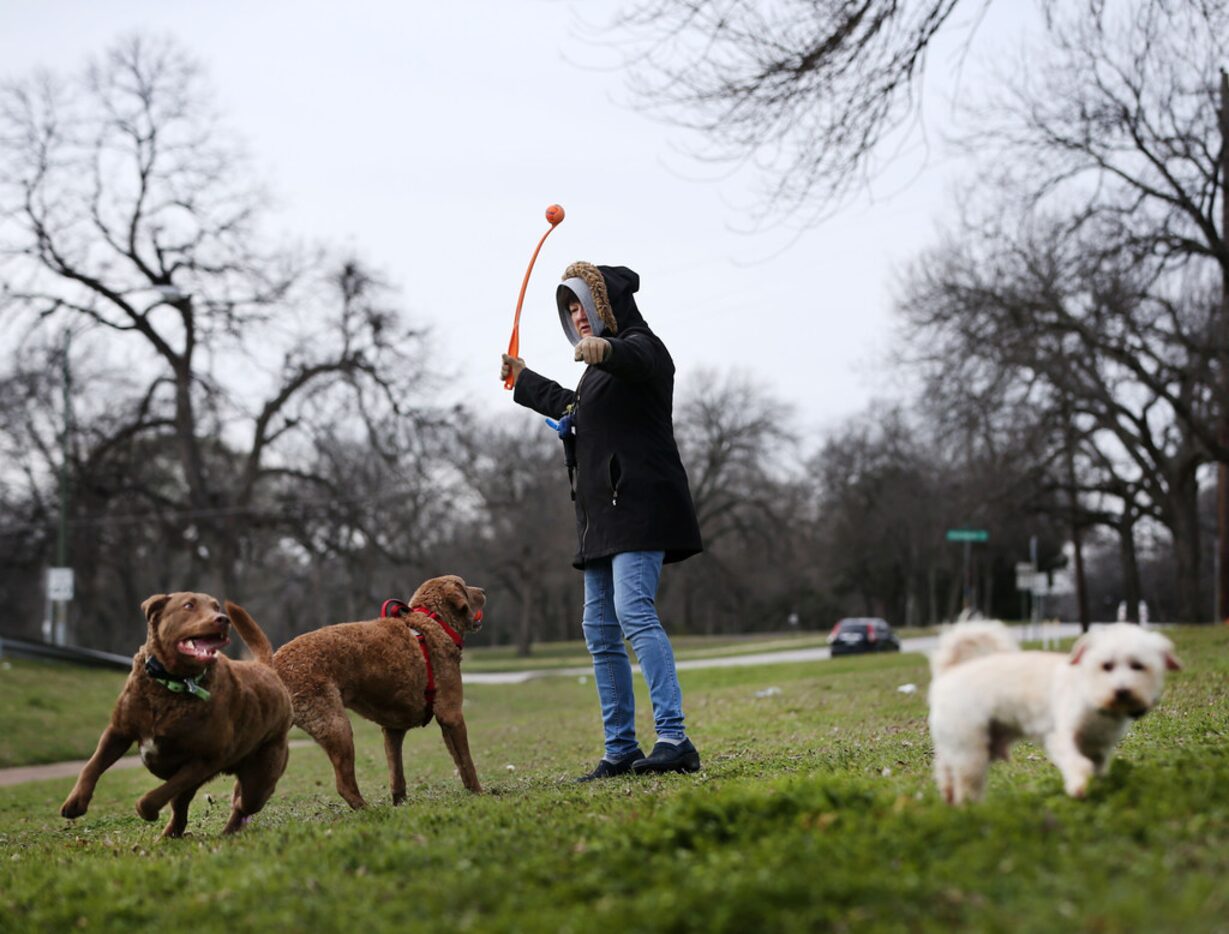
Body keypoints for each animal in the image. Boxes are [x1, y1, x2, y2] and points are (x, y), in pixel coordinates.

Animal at [61, 594, 293, 835]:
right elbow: (92, 765)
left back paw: (227, 832)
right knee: (184, 808)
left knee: (242, 804)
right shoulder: (118, 731)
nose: (222, 619)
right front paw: (75, 803)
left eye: (216, 607)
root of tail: (267, 669)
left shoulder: (205, 759)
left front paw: (149, 812)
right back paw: (172, 835)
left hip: (260, 776)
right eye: (189, 605)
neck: (173, 684)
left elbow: (155, 797)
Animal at [276, 572, 486, 806]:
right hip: (337, 726)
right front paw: (480, 794)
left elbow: (398, 773)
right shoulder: (451, 714)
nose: (484, 591)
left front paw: (400, 805)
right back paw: (370, 809)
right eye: (465, 586)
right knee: (344, 785)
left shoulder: (393, 729)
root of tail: (272, 665)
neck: (433, 622)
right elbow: (466, 763)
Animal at [929, 619, 1179, 801]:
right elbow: (1078, 763)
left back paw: (948, 794)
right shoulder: (1062, 737)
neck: (1090, 693)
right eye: (1106, 665)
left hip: (967, 744)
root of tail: (949, 673)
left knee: (945, 767)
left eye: (1138, 666)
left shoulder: (1098, 749)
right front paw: (1078, 786)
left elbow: (1097, 767)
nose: (1122, 691)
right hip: (970, 749)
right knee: (965, 783)